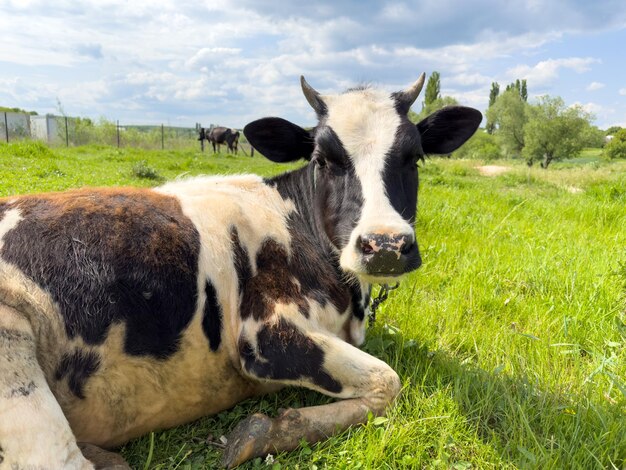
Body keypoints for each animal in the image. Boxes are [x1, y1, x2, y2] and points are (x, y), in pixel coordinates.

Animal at [0, 75, 478, 468]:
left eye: (414, 157)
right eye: (323, 158)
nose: (385, 246)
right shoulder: (265, 334)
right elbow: (388, 381)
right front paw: (263, 431)